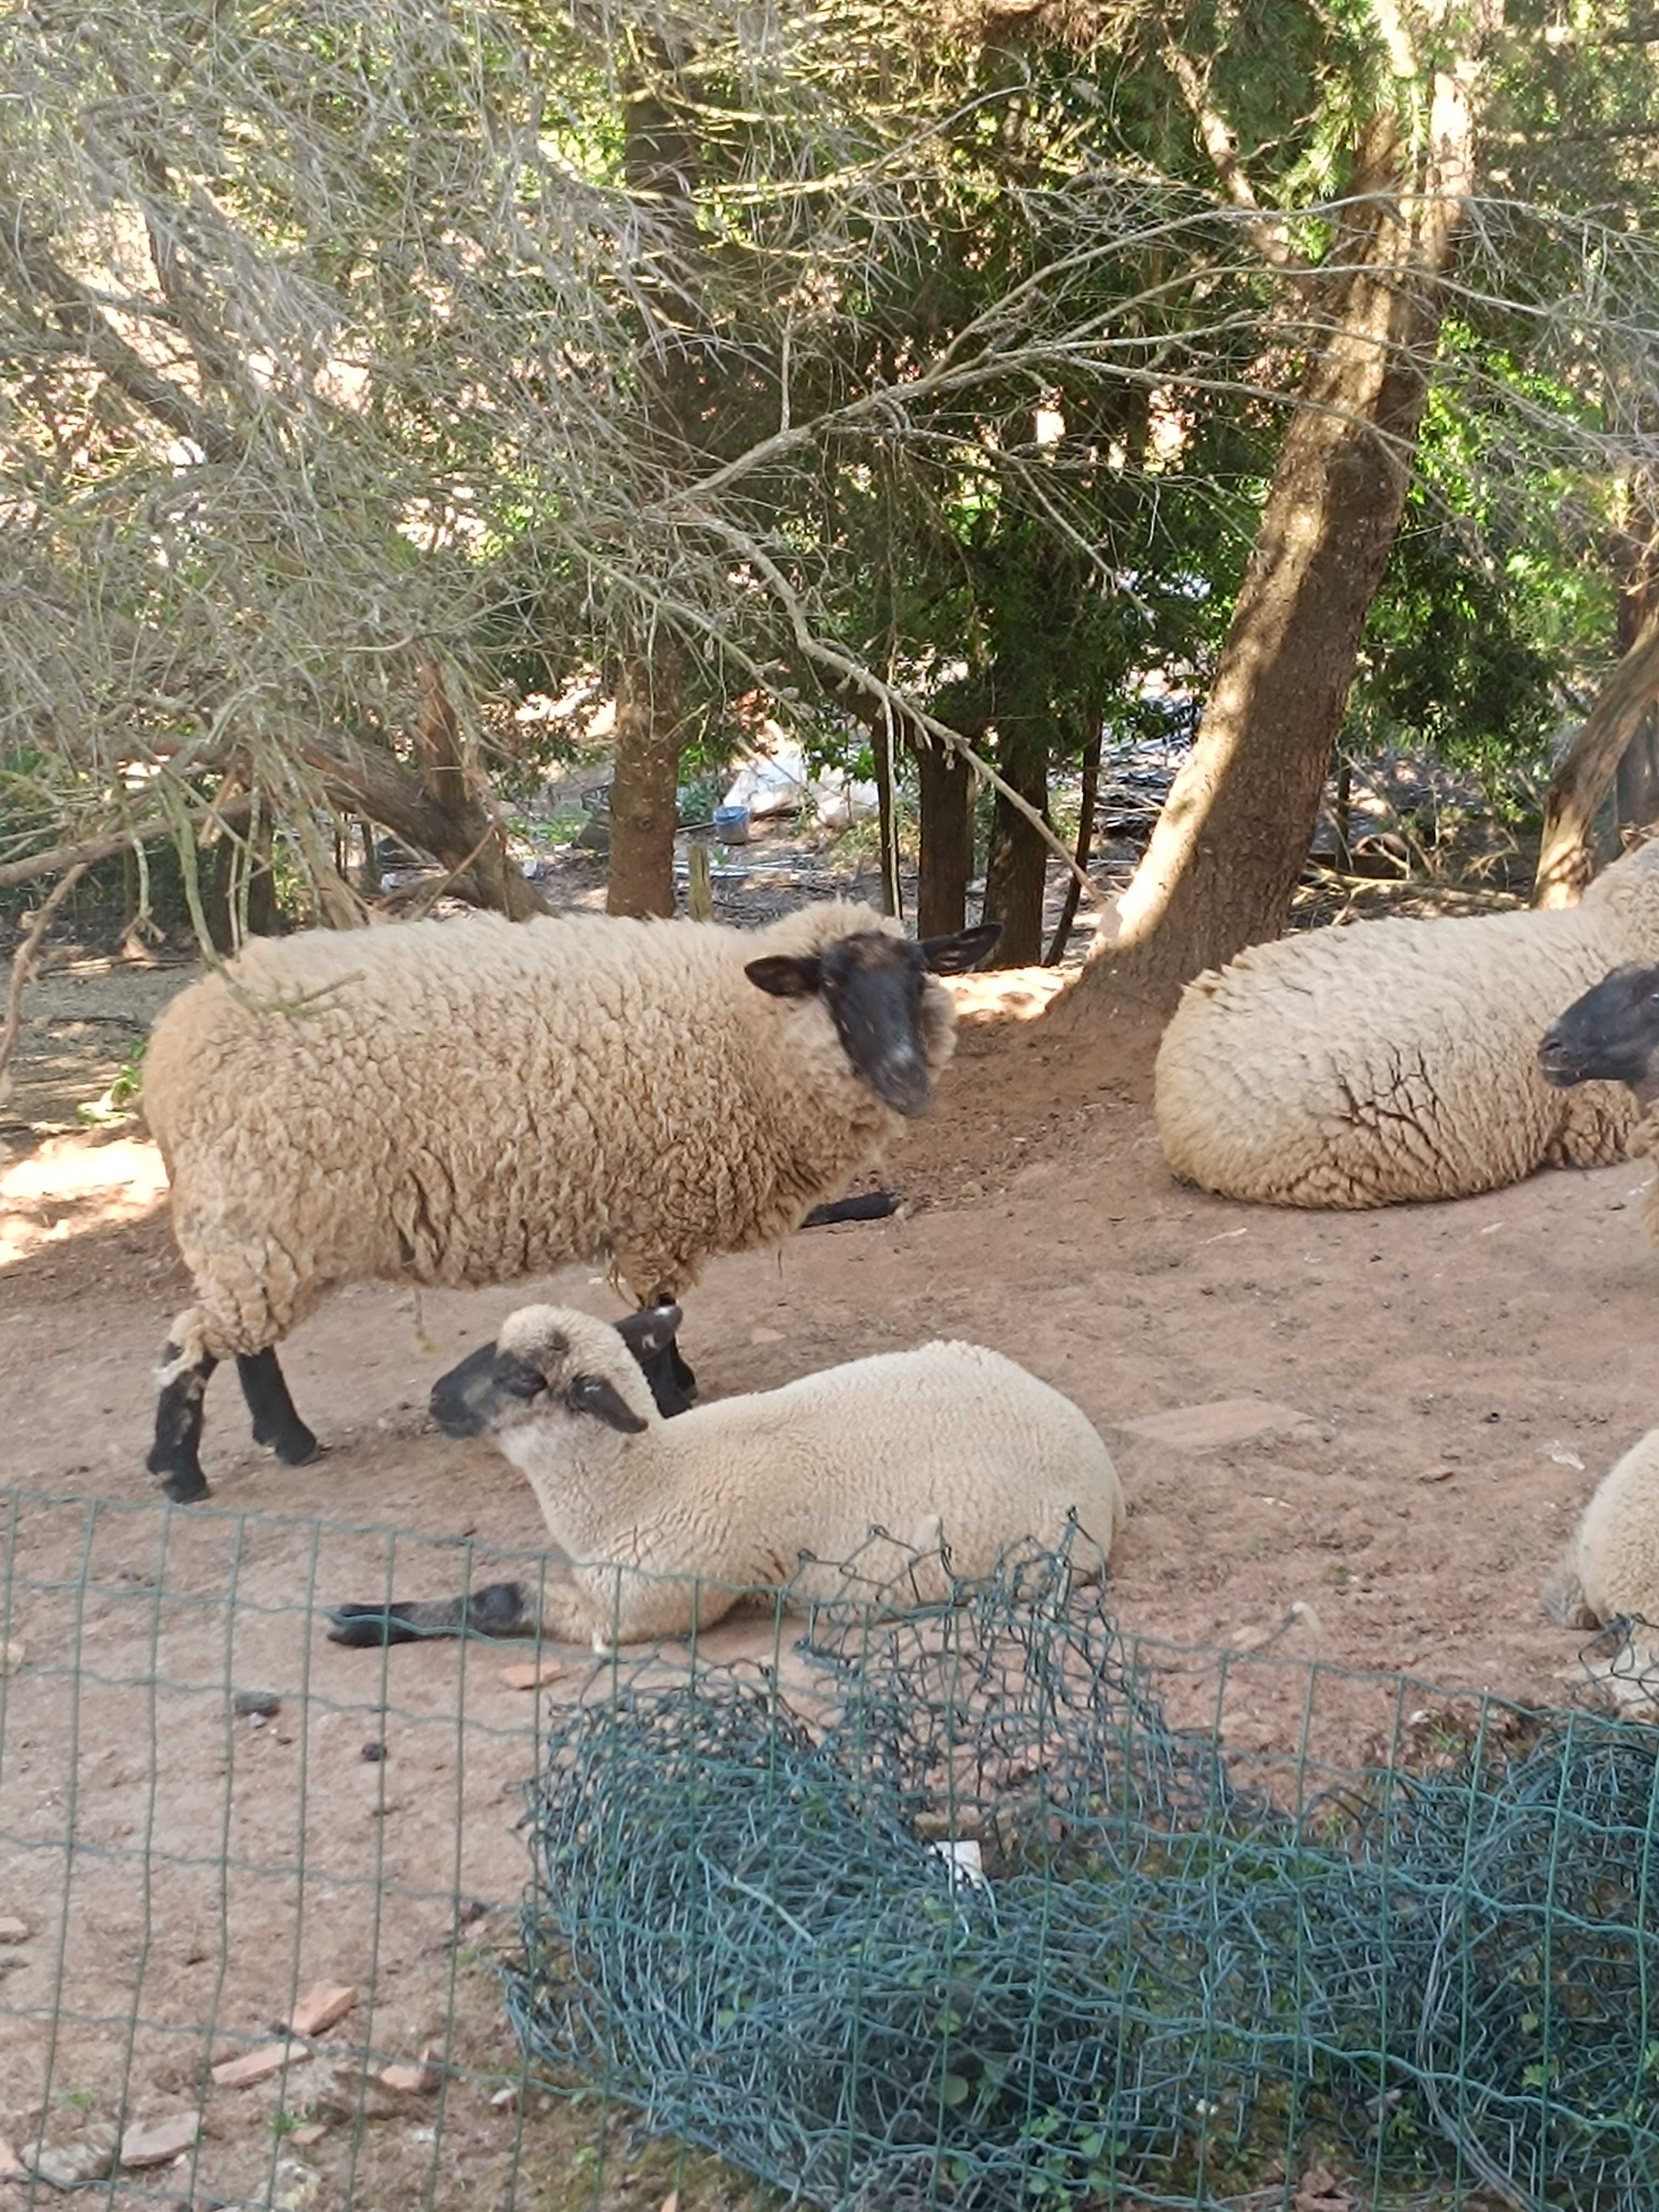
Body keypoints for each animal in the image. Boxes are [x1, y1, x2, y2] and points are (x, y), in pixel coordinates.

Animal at [143, 898, 995, 1504]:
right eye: (833, 985)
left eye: (920, 976)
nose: (908, 1080)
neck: (745, 1031)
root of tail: (171, 1045)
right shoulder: (662, 1206)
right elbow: (658, 1310)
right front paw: (671, 1396)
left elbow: (663, 1312)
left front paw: (679, 1381)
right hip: (257, 1205)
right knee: (192, 1339)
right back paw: (181, 1473)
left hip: (263, 1222)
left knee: (241, 1336)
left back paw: (286, 1439)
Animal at [327, 1300, 1132, 1654]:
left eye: (524, 1378)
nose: (434, 1398)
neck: (645, 1482)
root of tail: (1102, 1470)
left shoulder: (634, 1609)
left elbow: (500, 1599)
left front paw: (366, 1622)